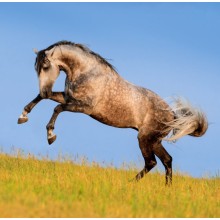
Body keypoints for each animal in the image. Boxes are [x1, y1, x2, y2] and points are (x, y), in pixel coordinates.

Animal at [17, 40, 208, 185]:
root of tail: (172, 115)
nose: (44, 90)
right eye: (36, 68)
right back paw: (166, 188)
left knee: (152, 162)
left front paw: (51, 136)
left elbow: (57, 108)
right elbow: (42, 100)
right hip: (154, 140)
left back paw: (131, 184)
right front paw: (23, 116)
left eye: (45, 66)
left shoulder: (84, 107)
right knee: (166, 160)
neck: (86, 73)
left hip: (145, 138)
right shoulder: (67, 97)